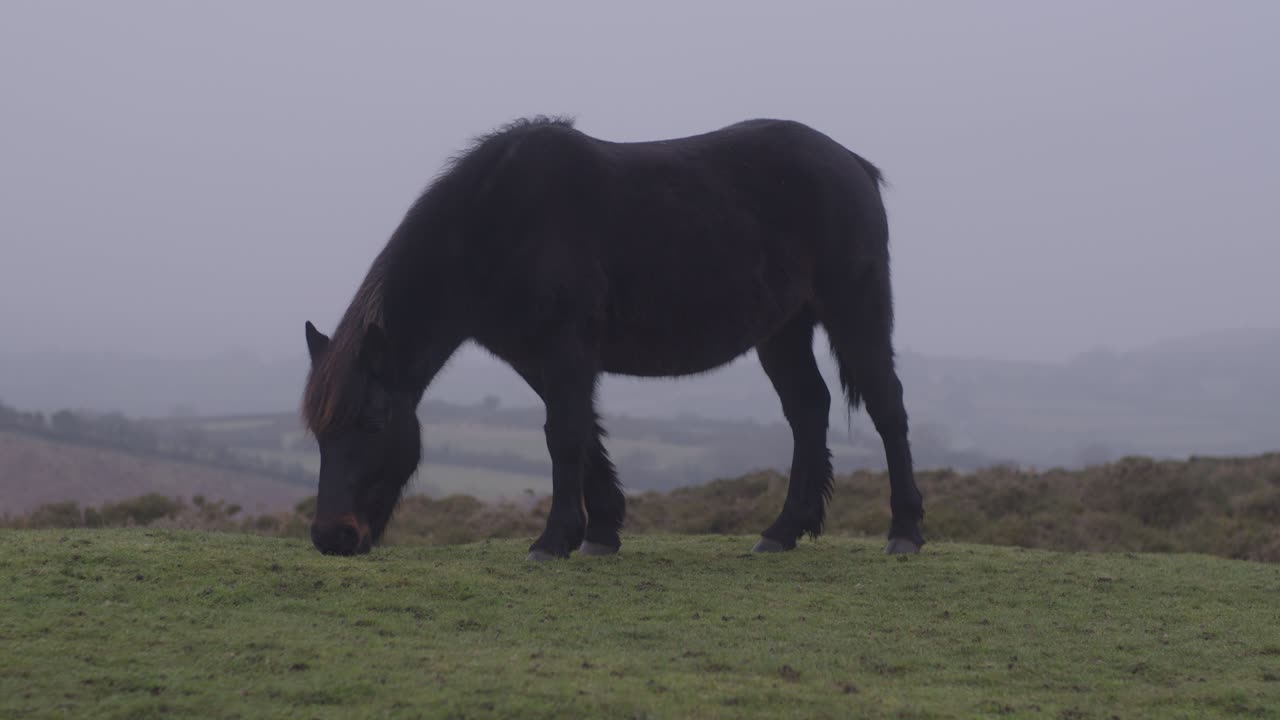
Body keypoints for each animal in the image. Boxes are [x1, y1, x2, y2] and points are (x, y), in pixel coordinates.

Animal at [301, 116, 925, 561]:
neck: (497, 226)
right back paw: (783, 530)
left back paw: (905, 531)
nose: (333, 537)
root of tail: (852, 163)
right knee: (808, 410)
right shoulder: (542, 360)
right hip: (782, 331)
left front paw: (552, 541)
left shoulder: (565, 351)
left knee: (887, 407)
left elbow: (564, 436)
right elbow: (583, 434)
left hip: (854, 313)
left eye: (374, 421)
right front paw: (599, 532)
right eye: (319, 433)